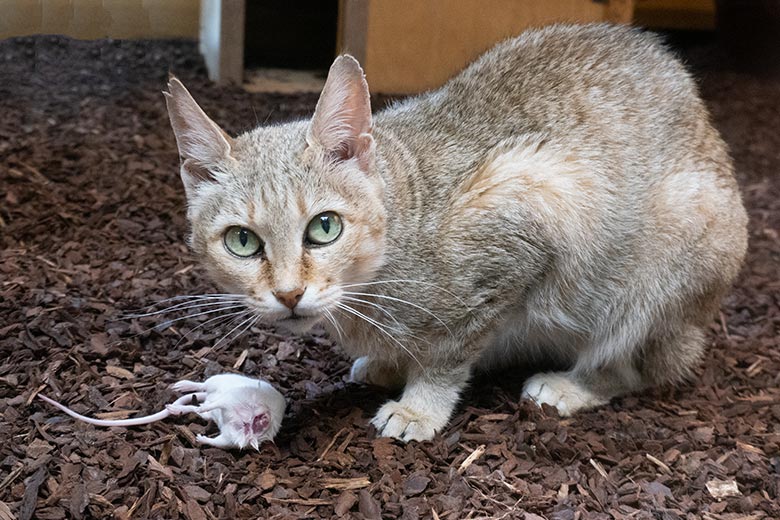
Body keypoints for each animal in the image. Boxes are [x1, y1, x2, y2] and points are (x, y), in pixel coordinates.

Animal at [165, 22, 748, 440]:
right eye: (242, 241)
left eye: (324, 228)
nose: (288, 293)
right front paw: (389, 362)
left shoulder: (532, 211)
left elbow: (449, 352)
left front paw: (420, 407)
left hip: (665, 261)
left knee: (630, 367)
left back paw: (572, 385)